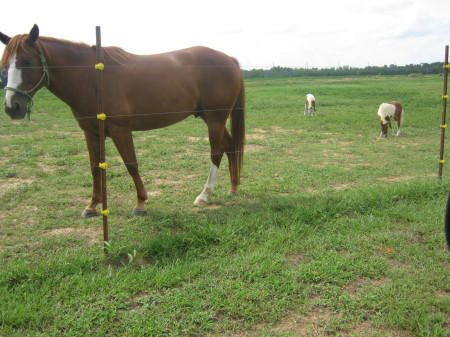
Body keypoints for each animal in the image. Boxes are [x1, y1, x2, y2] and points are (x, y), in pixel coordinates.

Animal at [0, 25, 246, 217]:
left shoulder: (120, 131)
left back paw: (204, 195)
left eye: (27, 61)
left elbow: (131, 165)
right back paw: (233, 187)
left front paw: (140, 203)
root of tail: (229, 59)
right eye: (5, 65)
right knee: (229, 146)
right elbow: (95, 167)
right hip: (209, 117)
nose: (12, 107)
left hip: (215, 118)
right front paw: (92, 206)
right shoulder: (91, 132)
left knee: (216, 152)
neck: (93, 80)